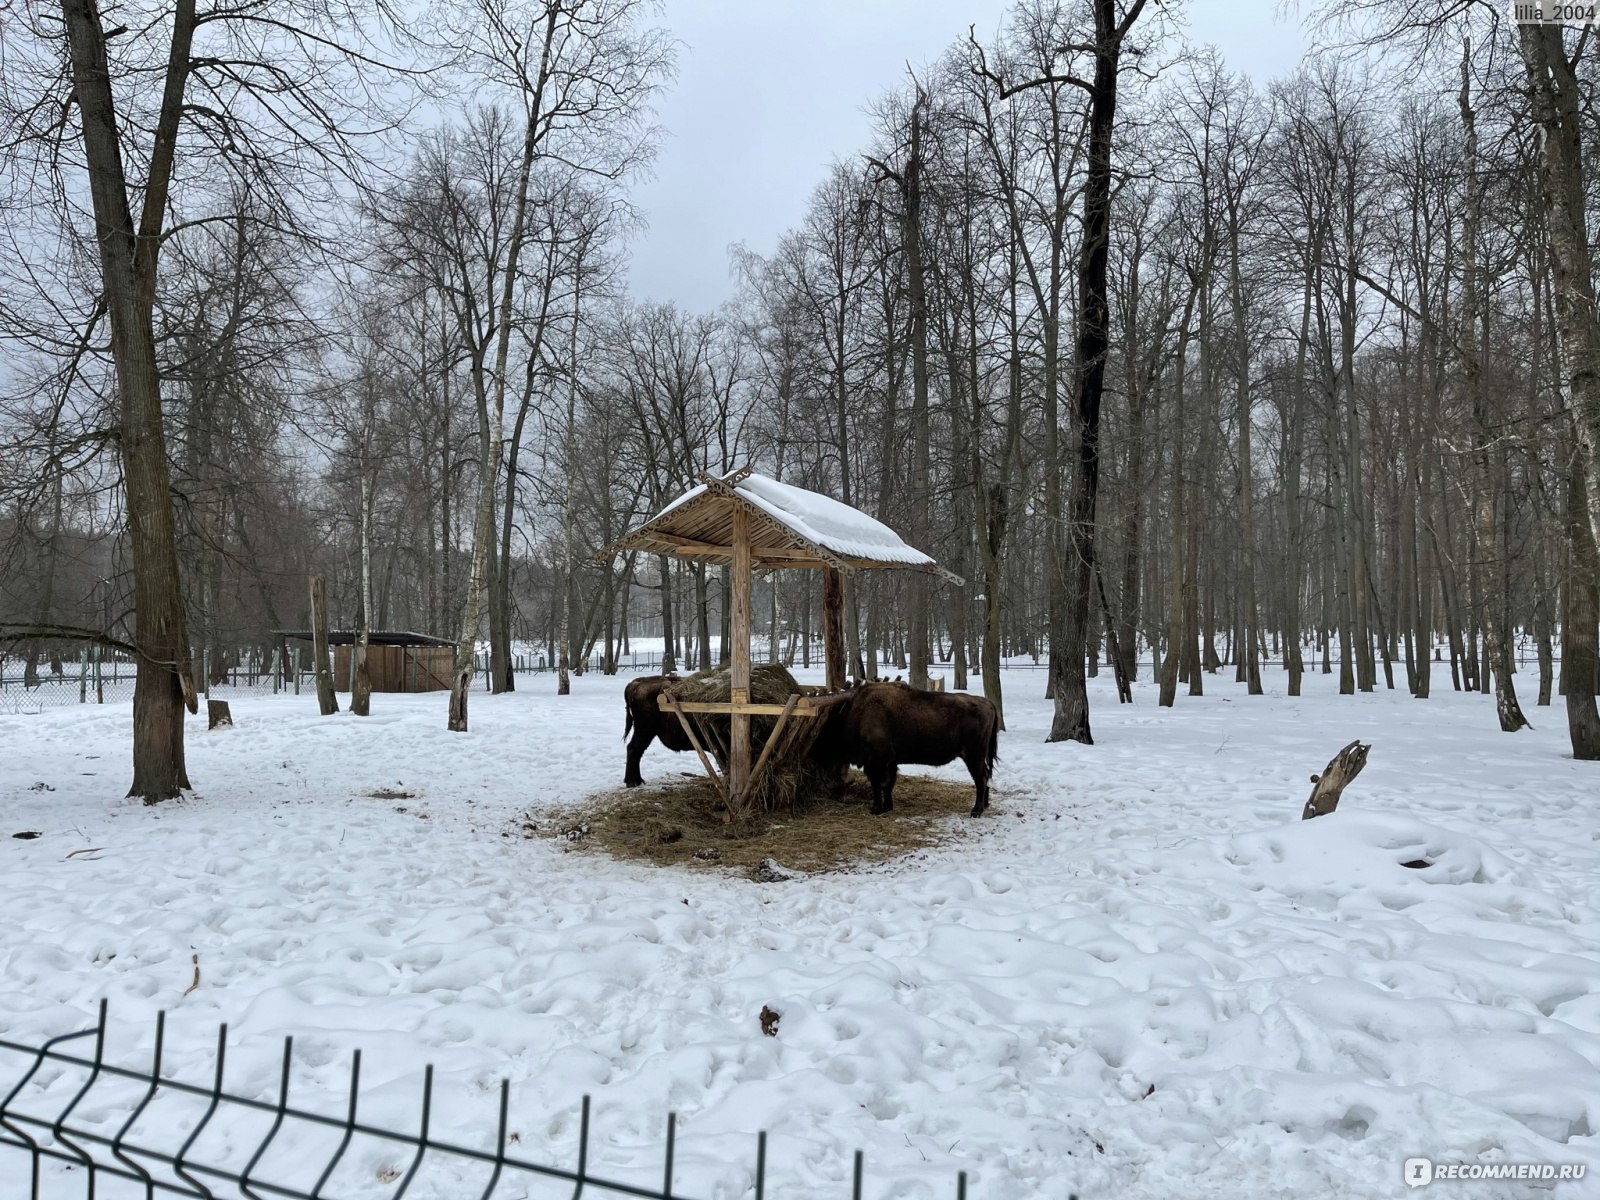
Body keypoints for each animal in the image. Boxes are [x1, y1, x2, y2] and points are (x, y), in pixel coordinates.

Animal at [812, 684, 998, 819]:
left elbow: (878, 784)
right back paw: (985, 806)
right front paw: (887, 807)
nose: (815, 755)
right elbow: (888, 785)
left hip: (973, 756)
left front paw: (876, 809)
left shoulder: (877, 761)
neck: (858, 715)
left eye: (825, 733)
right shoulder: (891, 762)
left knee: (980, 779)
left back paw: (976, 811)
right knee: (986, 776)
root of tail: (988, 703)